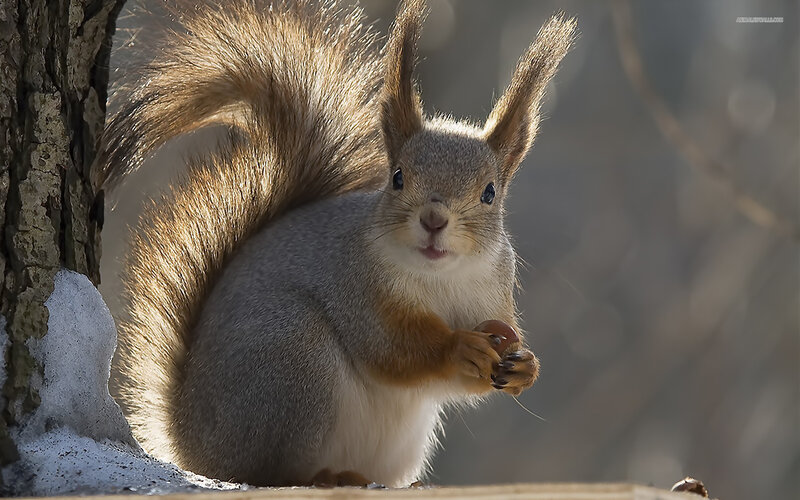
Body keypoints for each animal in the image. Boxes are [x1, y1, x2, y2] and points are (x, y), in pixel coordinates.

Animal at [99, 0, 575, 488]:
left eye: (489, 192)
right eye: (397, 177)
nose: (434, 219)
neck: (439, 278)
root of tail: (189, 439)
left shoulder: (492, 296)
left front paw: (526, 367)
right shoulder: (356, 287)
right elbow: (390, 349)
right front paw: (456, 348)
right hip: (293, 357)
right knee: (267, 469)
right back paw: (327, 476)